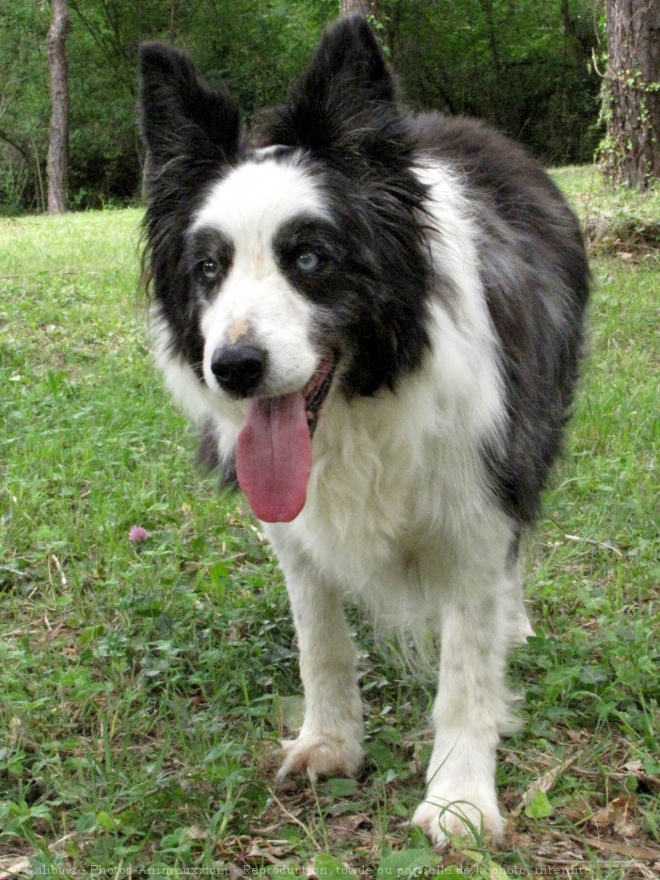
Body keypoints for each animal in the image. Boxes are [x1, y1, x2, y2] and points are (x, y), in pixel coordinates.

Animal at [138, 13, 588, 844]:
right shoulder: (293, 527)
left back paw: (514, 623)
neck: (359, 403)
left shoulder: (478, 500)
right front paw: (330, 742)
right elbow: (319, 638)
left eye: (310, 258)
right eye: (209, 269)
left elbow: (466, 663)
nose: (234, 367)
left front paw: (460, 799)